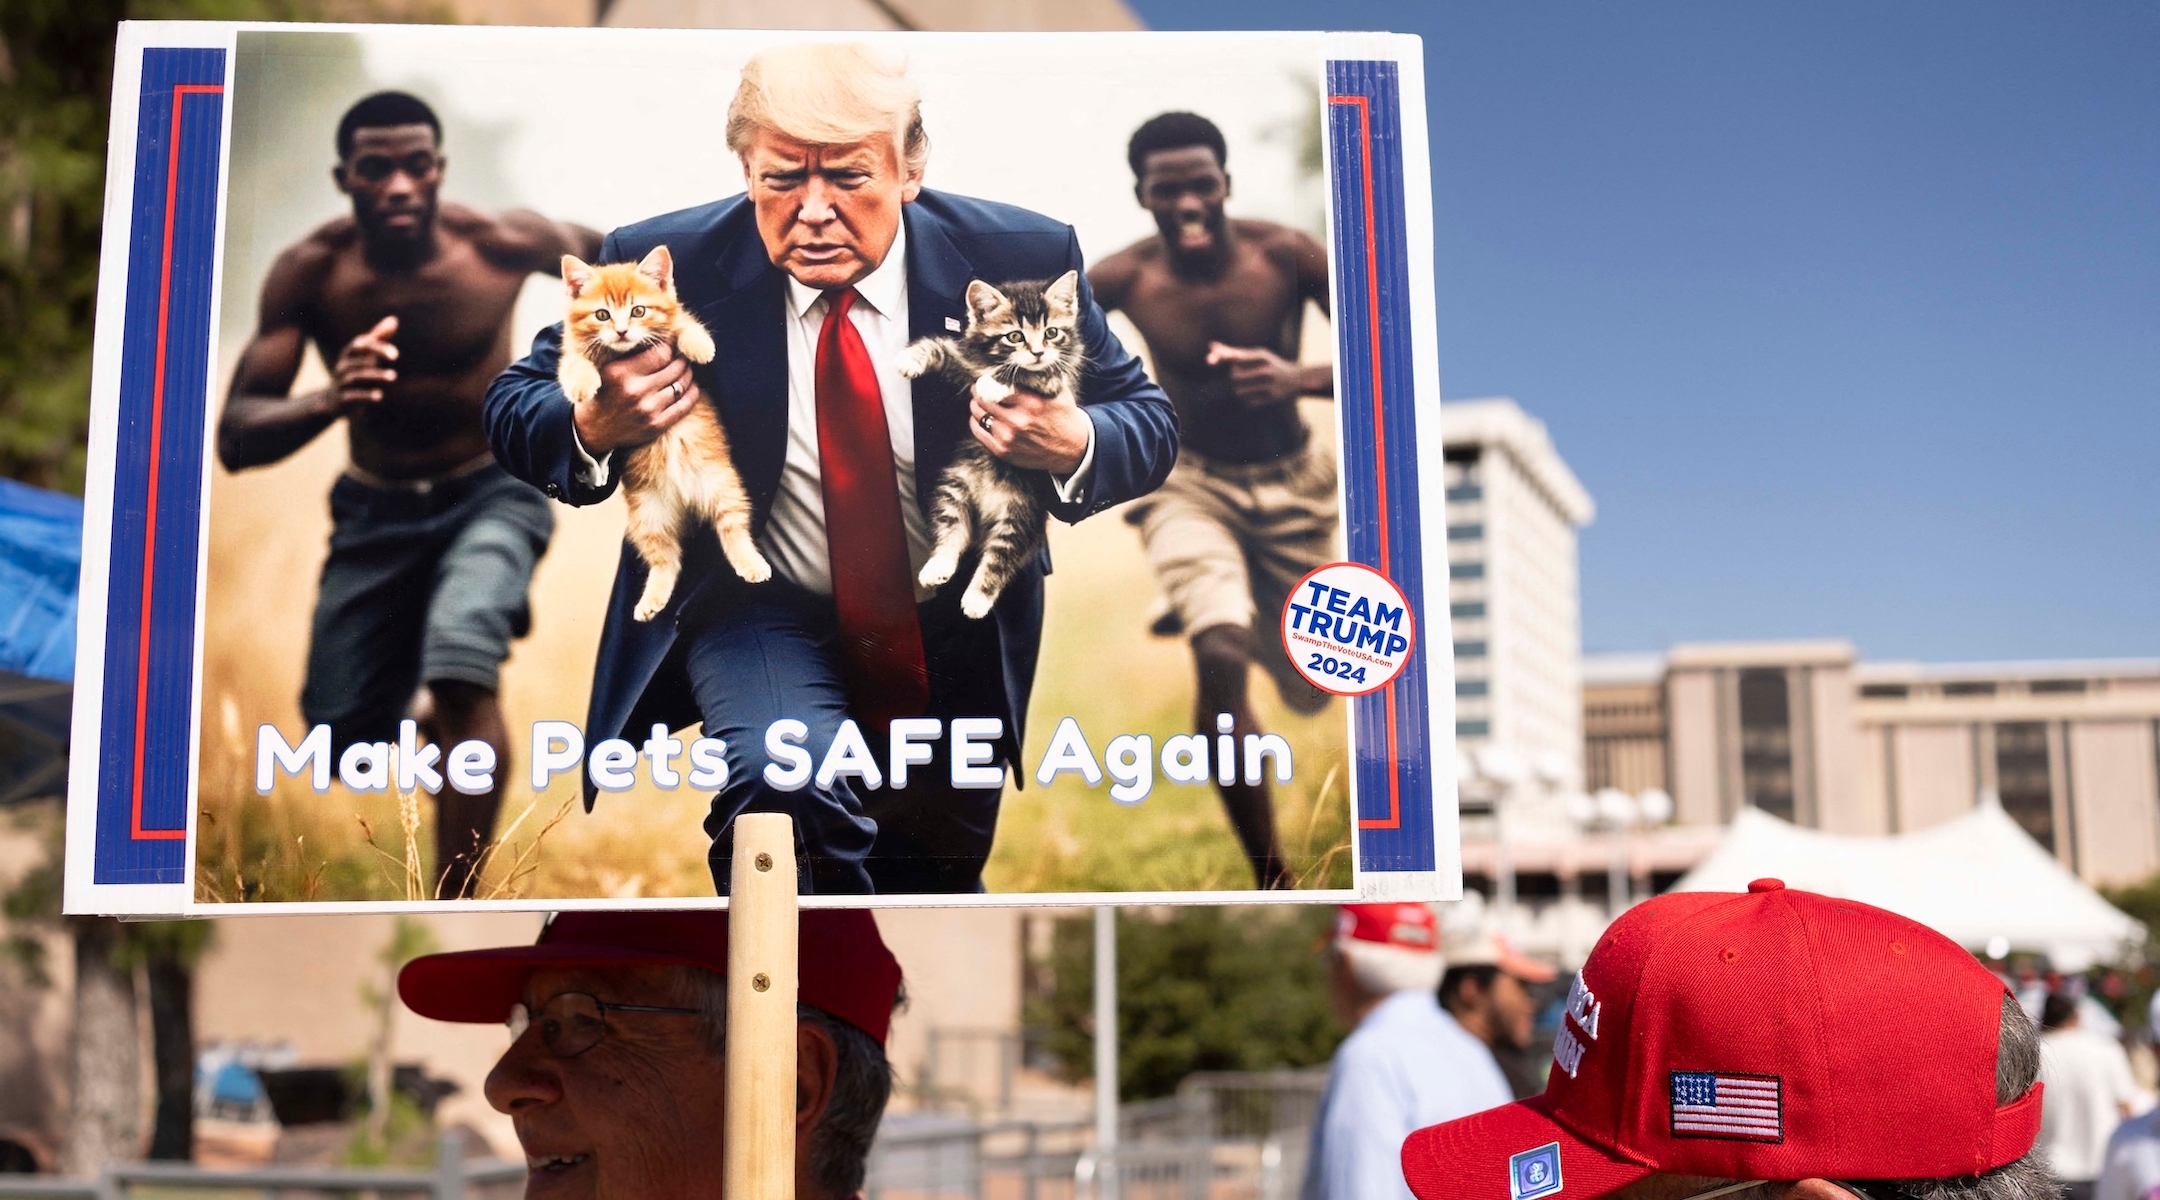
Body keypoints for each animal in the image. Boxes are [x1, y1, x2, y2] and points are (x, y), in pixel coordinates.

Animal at [557, 242, 768, 617]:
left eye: (638, 311)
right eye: (602, 315)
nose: (622, 331)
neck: (623, 352)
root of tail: (685, 501)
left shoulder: (672, 324)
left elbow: (683, 322)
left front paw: (700, 344)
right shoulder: (572, 353)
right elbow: (572, 364)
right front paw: (582, 385)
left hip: (723, 486)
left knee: (733, 528)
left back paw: (750, 563)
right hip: (647, 516)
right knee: (666, 558)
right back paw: (652, 600)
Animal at [898, 267, 1088, 612]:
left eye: (1052, 333)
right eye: (1015, 336)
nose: (1038, 352)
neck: (992, 361)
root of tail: (987, 509)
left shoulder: (1060, 378)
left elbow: (1030, 373)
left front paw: (997, 382)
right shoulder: (965, 363)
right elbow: (940, 347)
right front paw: (910, 359)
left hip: (1021, 513)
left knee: (1002, 556)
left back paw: (977, 597)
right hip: (955, 485)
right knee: (952, 528)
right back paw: (938, 566)